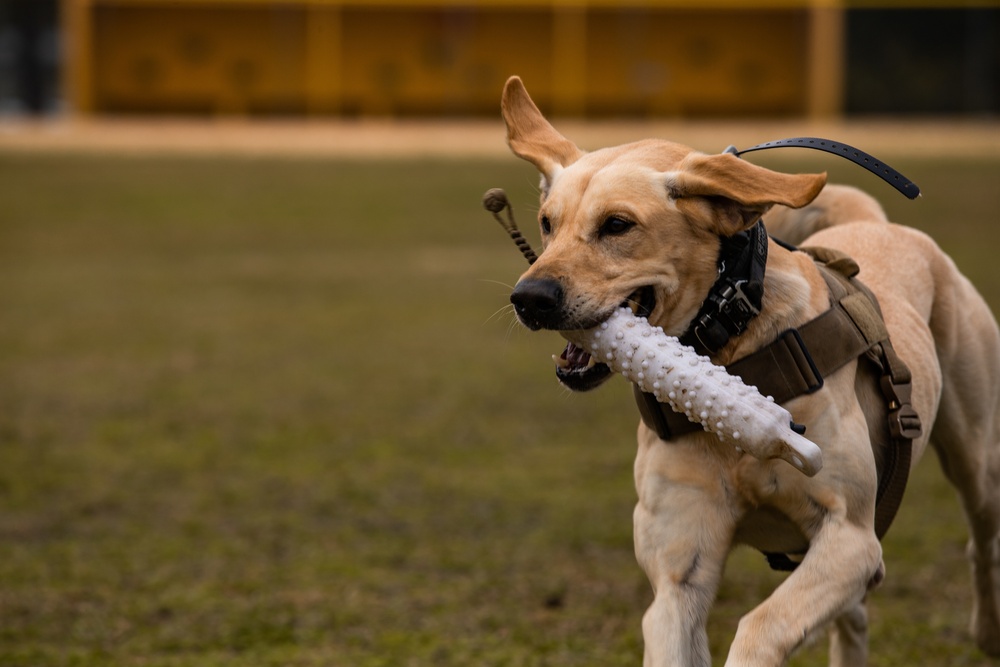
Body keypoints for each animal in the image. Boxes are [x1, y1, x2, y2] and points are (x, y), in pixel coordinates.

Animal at [504, 75, 1000, 664]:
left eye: (617, 225)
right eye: (546, 224)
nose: (528, 298)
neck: (729, 356)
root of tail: (875, 224)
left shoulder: (852, 540)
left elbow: (760, 625)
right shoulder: (679, 573)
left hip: (975, 457)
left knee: (982, 541)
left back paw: (988, 628)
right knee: (854, 619)